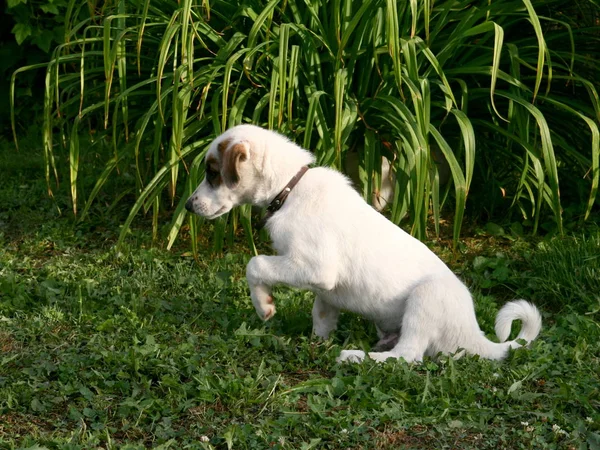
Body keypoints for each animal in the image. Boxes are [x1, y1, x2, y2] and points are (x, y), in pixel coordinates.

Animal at [185, 125, 540, 364]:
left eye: (213, 173)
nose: (188, 206)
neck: (290, 189)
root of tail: (473, 334)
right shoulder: (324, 288)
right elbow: (321, 315)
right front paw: (315, 343)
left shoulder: (315, 267)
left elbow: (255, 264)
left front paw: (264, 306)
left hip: (426, 298)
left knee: (408, 356)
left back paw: (357, 356)